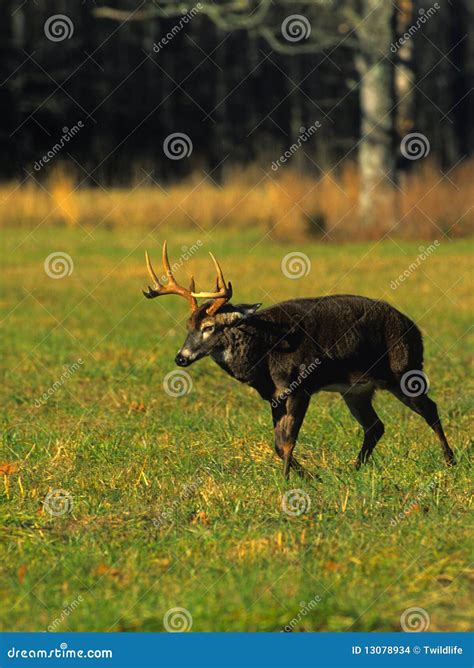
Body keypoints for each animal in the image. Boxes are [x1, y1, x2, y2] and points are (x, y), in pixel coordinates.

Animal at [143, 243, 456, 478]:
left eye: (209, 327)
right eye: (188, 326)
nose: (181, 358)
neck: (264, 355)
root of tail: (414, 328)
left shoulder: (299, 387)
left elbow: (288, 441)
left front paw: (287, 481)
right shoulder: (274, 396)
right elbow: (277, 443)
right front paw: (310, 476)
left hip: (404, 370)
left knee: (430, 409)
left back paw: (450, 461)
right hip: (356, 390)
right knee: (375, 426)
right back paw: (355, 468)